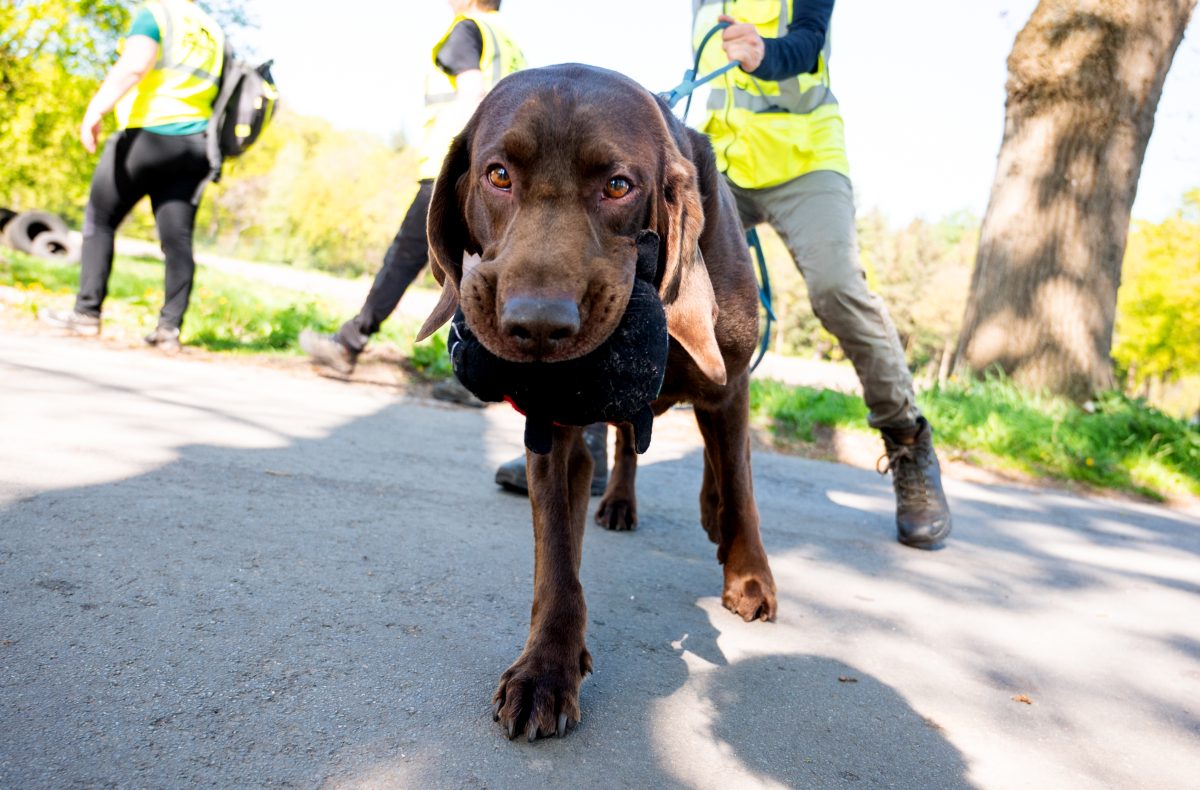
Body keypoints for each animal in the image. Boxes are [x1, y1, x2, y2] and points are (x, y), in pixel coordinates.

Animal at [420, 63, 777, 739]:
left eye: (618, 186)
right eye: (498, 175)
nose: (536, 325)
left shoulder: (730, 383)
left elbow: (743, 484)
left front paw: (749, 577)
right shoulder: (552, 421)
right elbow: (557, 555)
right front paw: (546, 670)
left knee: (725, 460)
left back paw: (714, 516)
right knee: (628, 444)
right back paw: (618, 502)